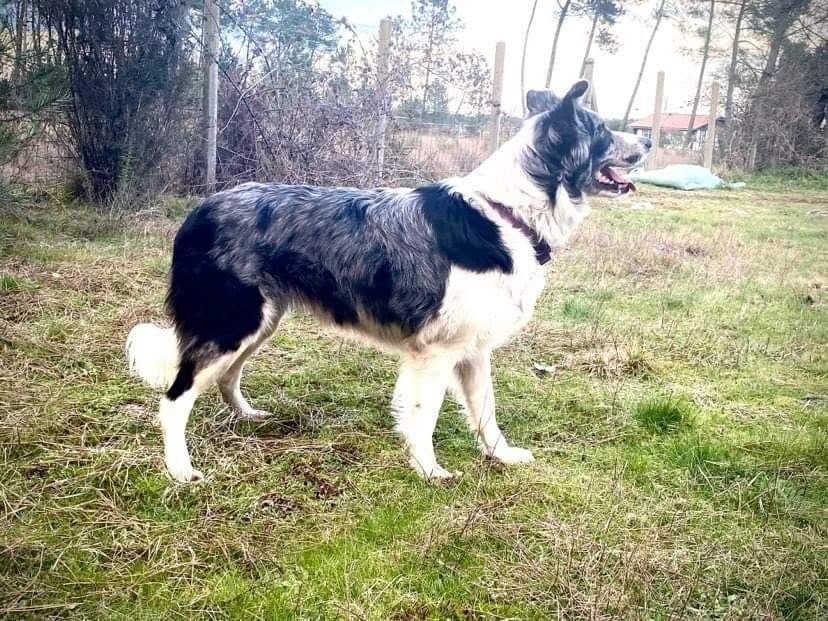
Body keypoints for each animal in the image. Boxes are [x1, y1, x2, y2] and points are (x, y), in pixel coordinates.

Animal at [126, 81, 652, 480]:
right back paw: (180, 471)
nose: (646, 142)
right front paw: (429, 471)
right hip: (231, 323)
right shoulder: (435, 354)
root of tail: (201, 210)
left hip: (259, 323)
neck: (510, 215)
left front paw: (501, 456)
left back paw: (248, 416)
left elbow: (486, 412)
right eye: (601, 130)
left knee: (225, 377)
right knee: (174, 399)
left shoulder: (474, 351)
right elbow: (424, 417)